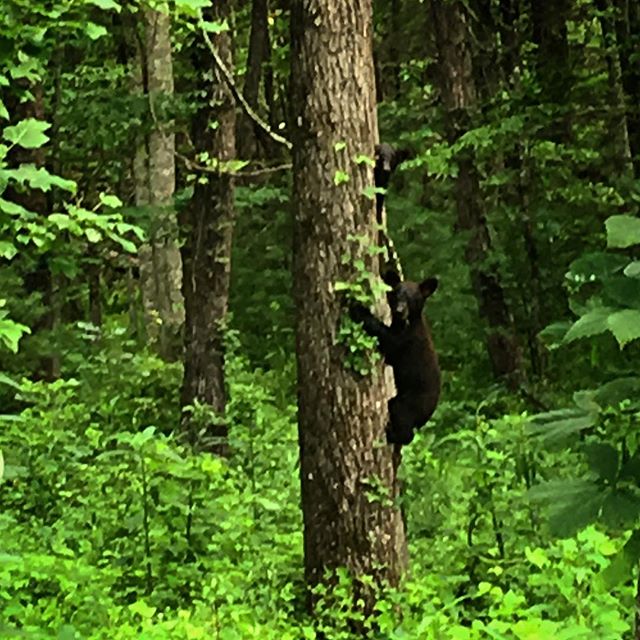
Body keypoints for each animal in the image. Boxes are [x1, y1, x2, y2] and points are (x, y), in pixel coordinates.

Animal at [350, 270, 440, 445]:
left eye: (413, 298)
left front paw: (359, 309)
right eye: (396, 294)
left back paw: (393, 434)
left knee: (403, 418)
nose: (399, 310)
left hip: (412, 402)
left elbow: (388, 341)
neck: (405, 323)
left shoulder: (406, 341)